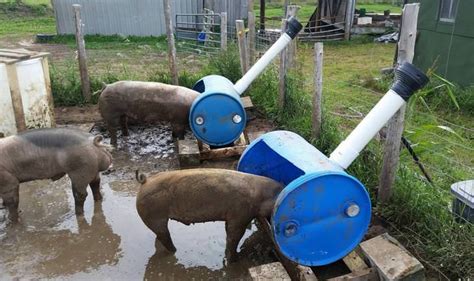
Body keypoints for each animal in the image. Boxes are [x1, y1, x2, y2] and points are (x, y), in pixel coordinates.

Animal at [134, 167, 282, 262]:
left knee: (159, 238)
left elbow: (228, 232)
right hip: (153, 216)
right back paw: (174, 251)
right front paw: (235, 260)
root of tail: (145, 181)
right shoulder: (240, 215)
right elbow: (234, 236)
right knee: (165, 236)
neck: (261, 197)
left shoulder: (232, 216)